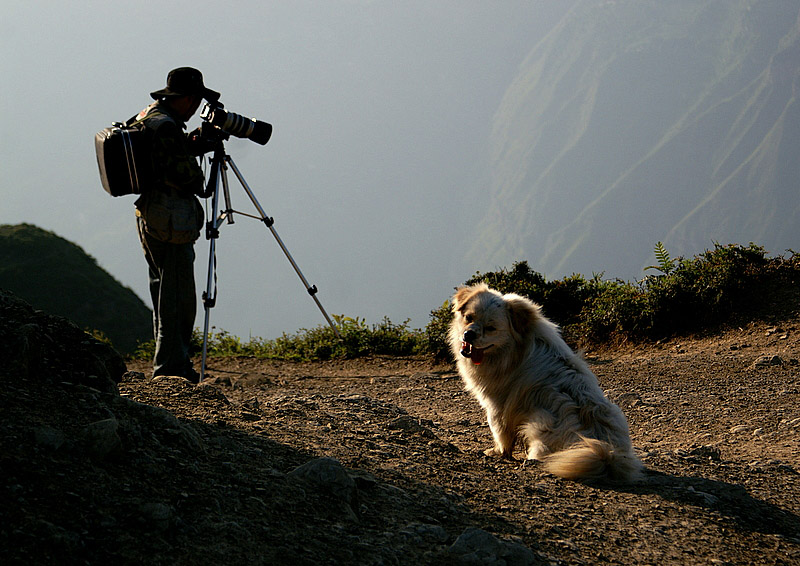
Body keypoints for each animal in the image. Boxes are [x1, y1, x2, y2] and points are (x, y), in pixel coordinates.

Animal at [450, 284, 644, 484]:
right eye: (469, 318)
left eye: (491, 328)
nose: (469, 334)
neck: (513, 350)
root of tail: (609, 455)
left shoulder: (497, 406)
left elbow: (500, 434)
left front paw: (496, 452)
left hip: (538, 422)